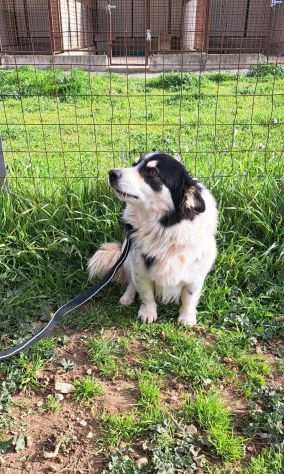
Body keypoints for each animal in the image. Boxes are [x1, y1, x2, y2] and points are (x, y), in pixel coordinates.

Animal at [89, 152, 217, 326]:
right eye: (134, 164)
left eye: (152, 172)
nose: (112, 173)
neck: (164, 228)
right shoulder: (140, 266)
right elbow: (146, 293)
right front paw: (148, 312)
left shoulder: (196, 271)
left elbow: (189, 296)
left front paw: (186, 317)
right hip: (127, 256)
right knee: (131, 282)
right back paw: (127, 297)